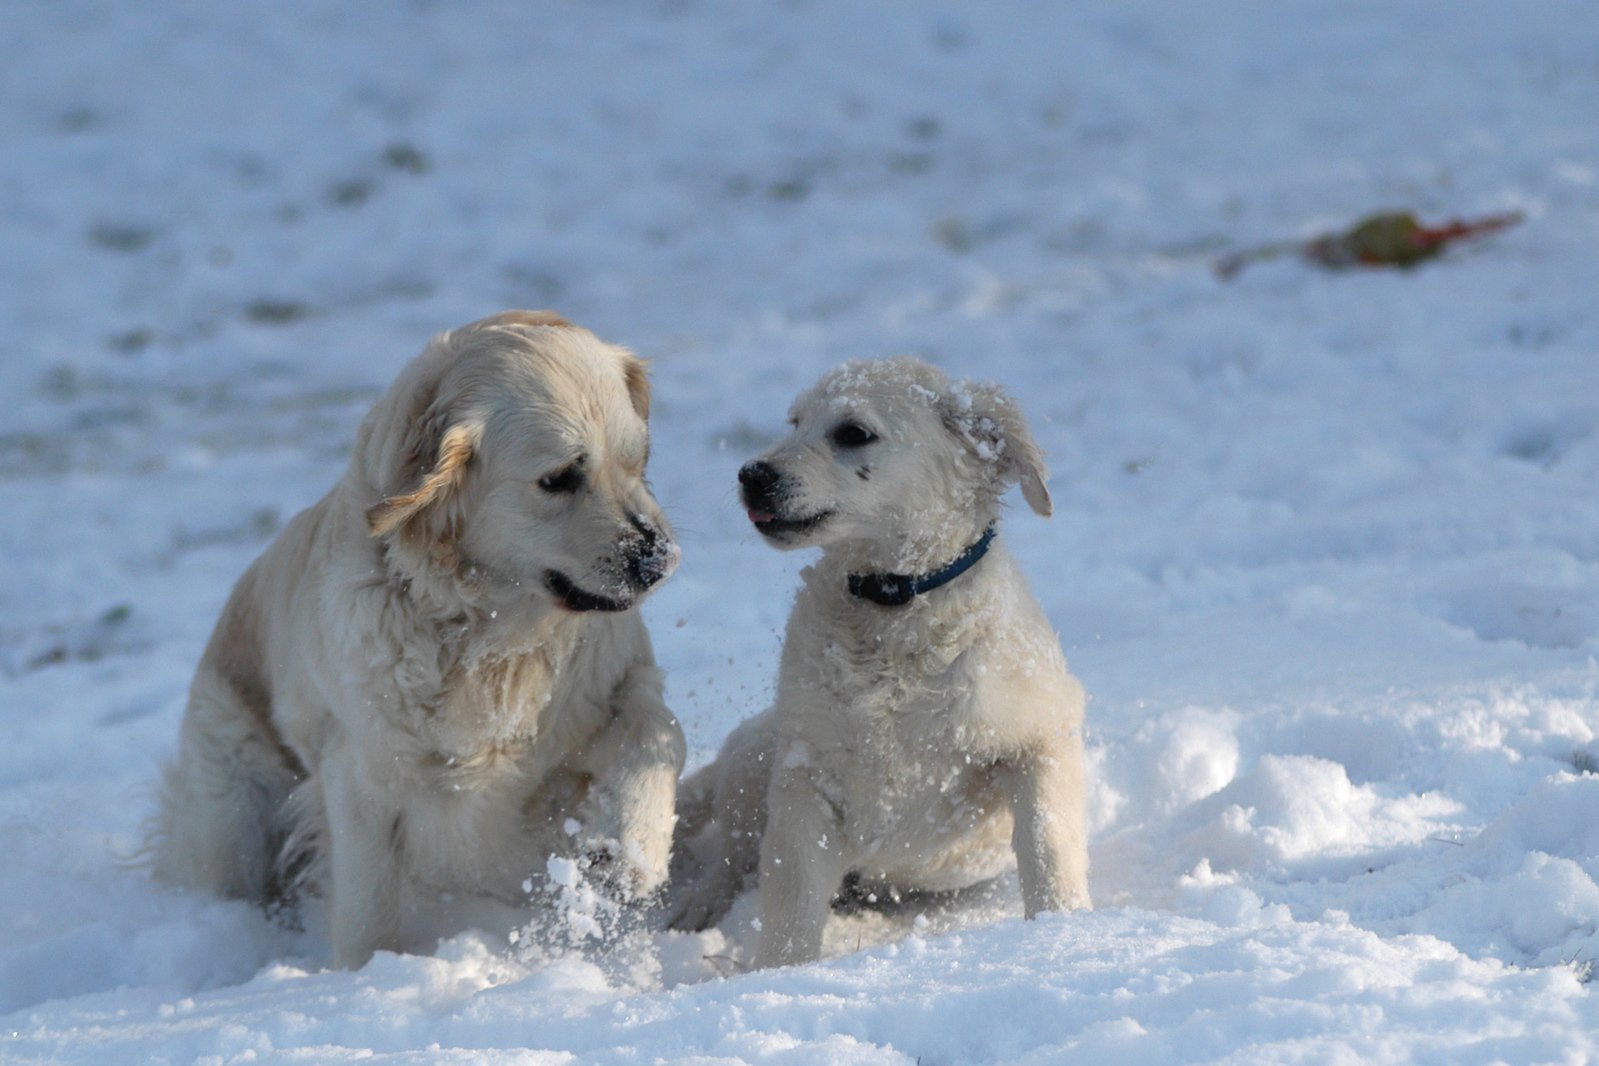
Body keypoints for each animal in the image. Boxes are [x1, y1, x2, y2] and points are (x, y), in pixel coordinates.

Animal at [152, 308, 690, 965]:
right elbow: (367, 906)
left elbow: (657, 732)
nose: (660, 559)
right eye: (559, 478)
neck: (486, 635)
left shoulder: (612, 684)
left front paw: (630, 852)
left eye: (639, 459)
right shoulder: (360, 774)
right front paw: (364, 975)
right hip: (232, 809)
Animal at [668, 356, 1093, 965]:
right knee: (730, 852)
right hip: (756, 756)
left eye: (852, 433)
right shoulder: (805, 773)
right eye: (794, 422)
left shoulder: (1041, 734)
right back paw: (695, 911)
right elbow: (791, 893)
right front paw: (781, 971)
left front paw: (1064, 928)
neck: (893, 606)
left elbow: (1047, 839)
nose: (752, 473)